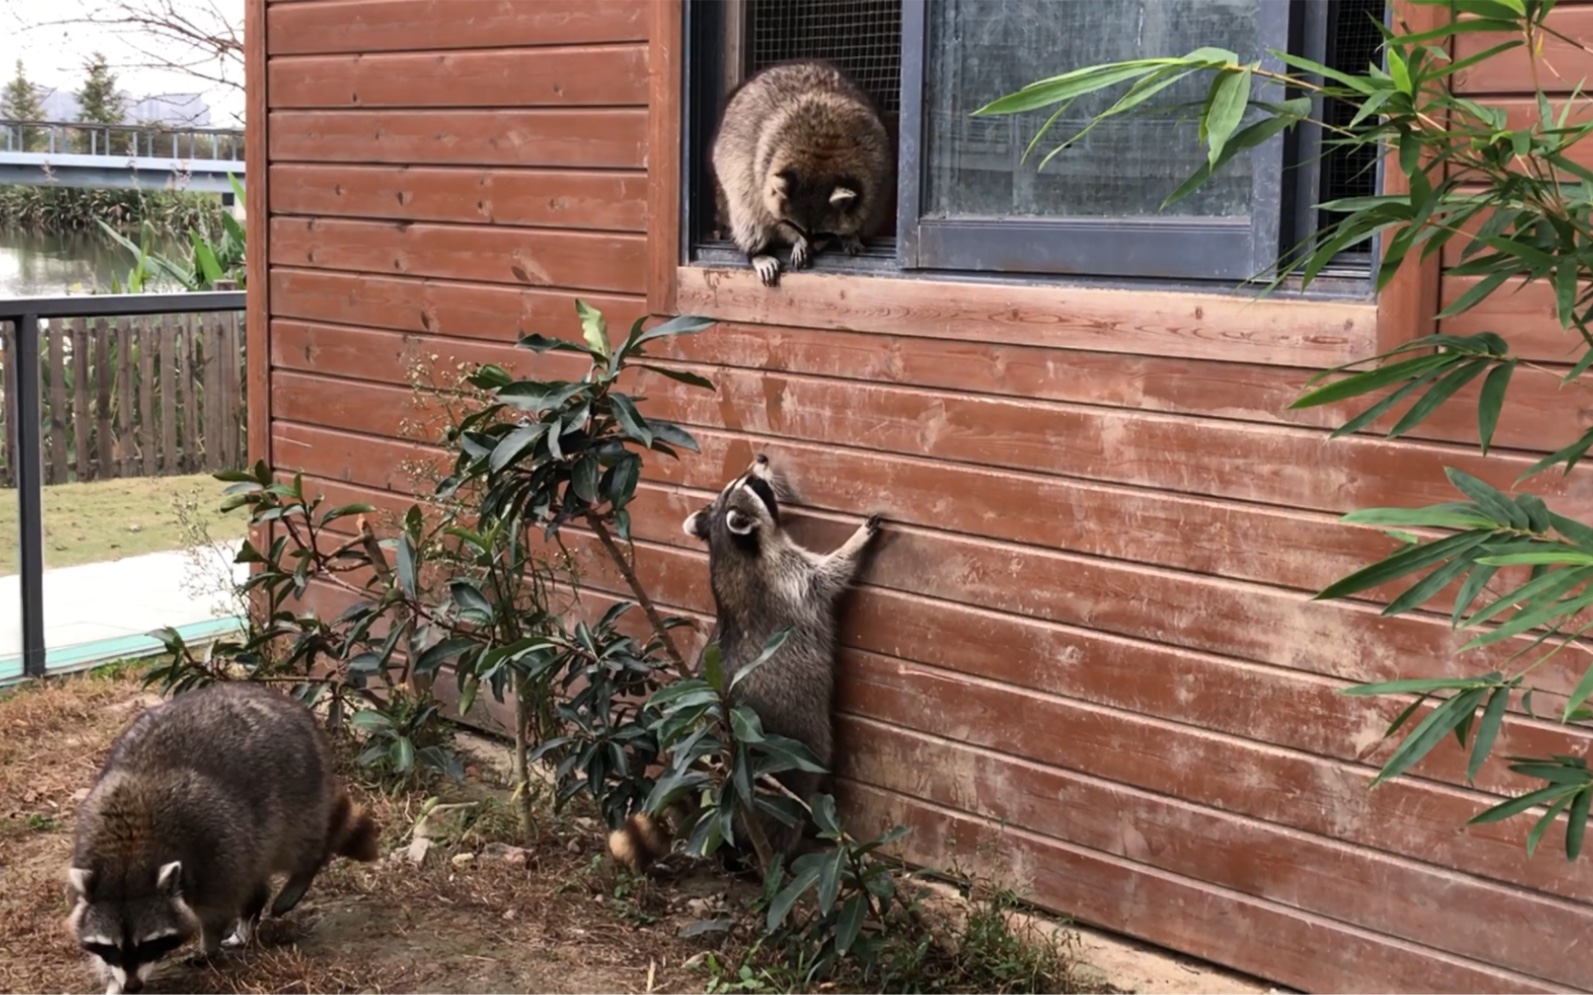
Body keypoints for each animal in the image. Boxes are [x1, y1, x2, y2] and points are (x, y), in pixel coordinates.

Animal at [66, 681, 383, 993]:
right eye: (111, 948)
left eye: (148, 944)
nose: (132, 986)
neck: (128, 856)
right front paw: (112, 979)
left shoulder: (216, 846)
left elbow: (216, 907)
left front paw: (209, 943)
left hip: (298, 788)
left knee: (298, 846)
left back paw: (300, 875)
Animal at [608, 448, 885, 866]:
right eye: (751, 484)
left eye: (740, 480)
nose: (762, 457)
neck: (729, 548)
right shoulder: (789, 581)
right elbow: (831, 574)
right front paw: (856, 541)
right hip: (775, 772)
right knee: (785, 812)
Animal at [713, 60, 898, 286]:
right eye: (797, 227)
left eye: (823, 233)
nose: (811, 249)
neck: (821, 158)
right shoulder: (765, 168)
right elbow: (770, 211)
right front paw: (798, 241)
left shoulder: (879, 167)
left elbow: (869, 208)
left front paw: (851, 233)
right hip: (732, 173)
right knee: (745, 210)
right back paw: (758, 252)